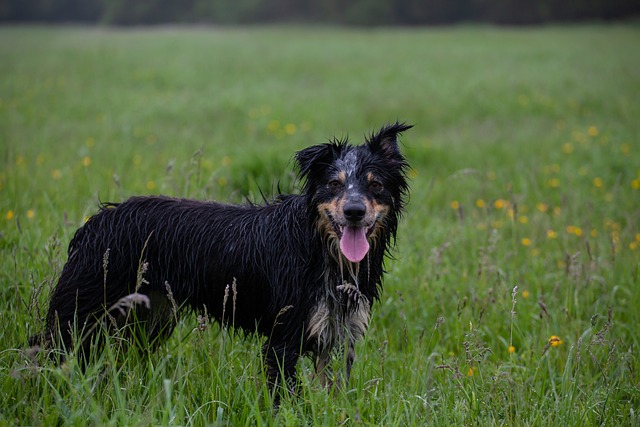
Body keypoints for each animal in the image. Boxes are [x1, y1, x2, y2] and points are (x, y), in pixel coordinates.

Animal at [31, 123, 410, 402]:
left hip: (147, 316)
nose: (354, 211)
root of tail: (95, 222)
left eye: (375, 185)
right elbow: (288, 399)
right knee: (48, 352)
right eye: (334, 183)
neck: (319, 248)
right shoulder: (283, 339)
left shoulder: (336, 336)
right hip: (81, 310)